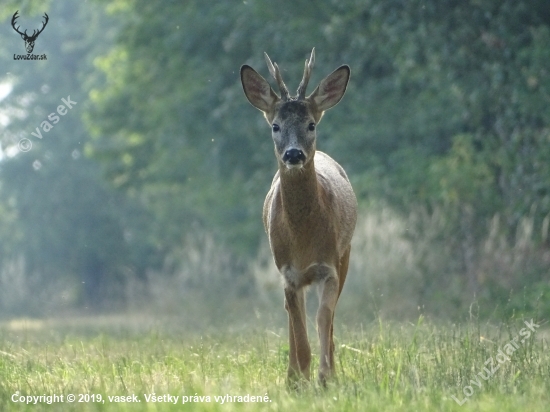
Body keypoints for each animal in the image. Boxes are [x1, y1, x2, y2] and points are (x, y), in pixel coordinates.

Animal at [242, 49, 358, 386]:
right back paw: (293, 376)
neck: (303, 237)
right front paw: (302, 377)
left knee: (327, 316)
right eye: (275, 126)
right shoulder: (288, 272)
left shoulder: (329, 264)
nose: (293, 154)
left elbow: (323, 318)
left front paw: (325, 376)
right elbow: (299, 326)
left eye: (311, 124)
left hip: (346, 253)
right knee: (292, 316)